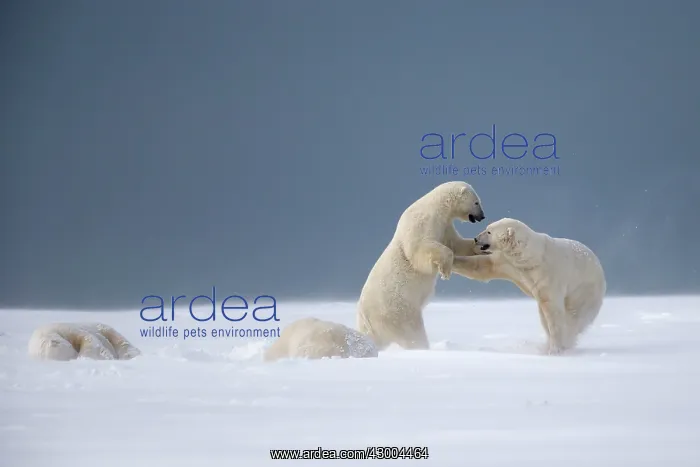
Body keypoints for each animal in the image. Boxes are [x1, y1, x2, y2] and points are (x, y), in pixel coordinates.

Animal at [356, 181, 486, 350]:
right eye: (476, 202)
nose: (482, 216)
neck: (435, 208)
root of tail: (365, 319)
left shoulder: (445, 226)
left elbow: (456, 243)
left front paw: (479, 246)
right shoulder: (422, 223)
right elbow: (420, 251)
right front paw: (445, 271)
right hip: (398, 312)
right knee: (413, 334)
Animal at [451, 217, 606, 354]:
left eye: (489, 231)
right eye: (487, 228)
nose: (476, 239)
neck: (529, 256)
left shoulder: (548, 275)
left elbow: (552, 309)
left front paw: (554, 349)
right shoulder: (509, 263)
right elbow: (483, 266)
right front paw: (450, 257)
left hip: (584, 290)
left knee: (574, 317)